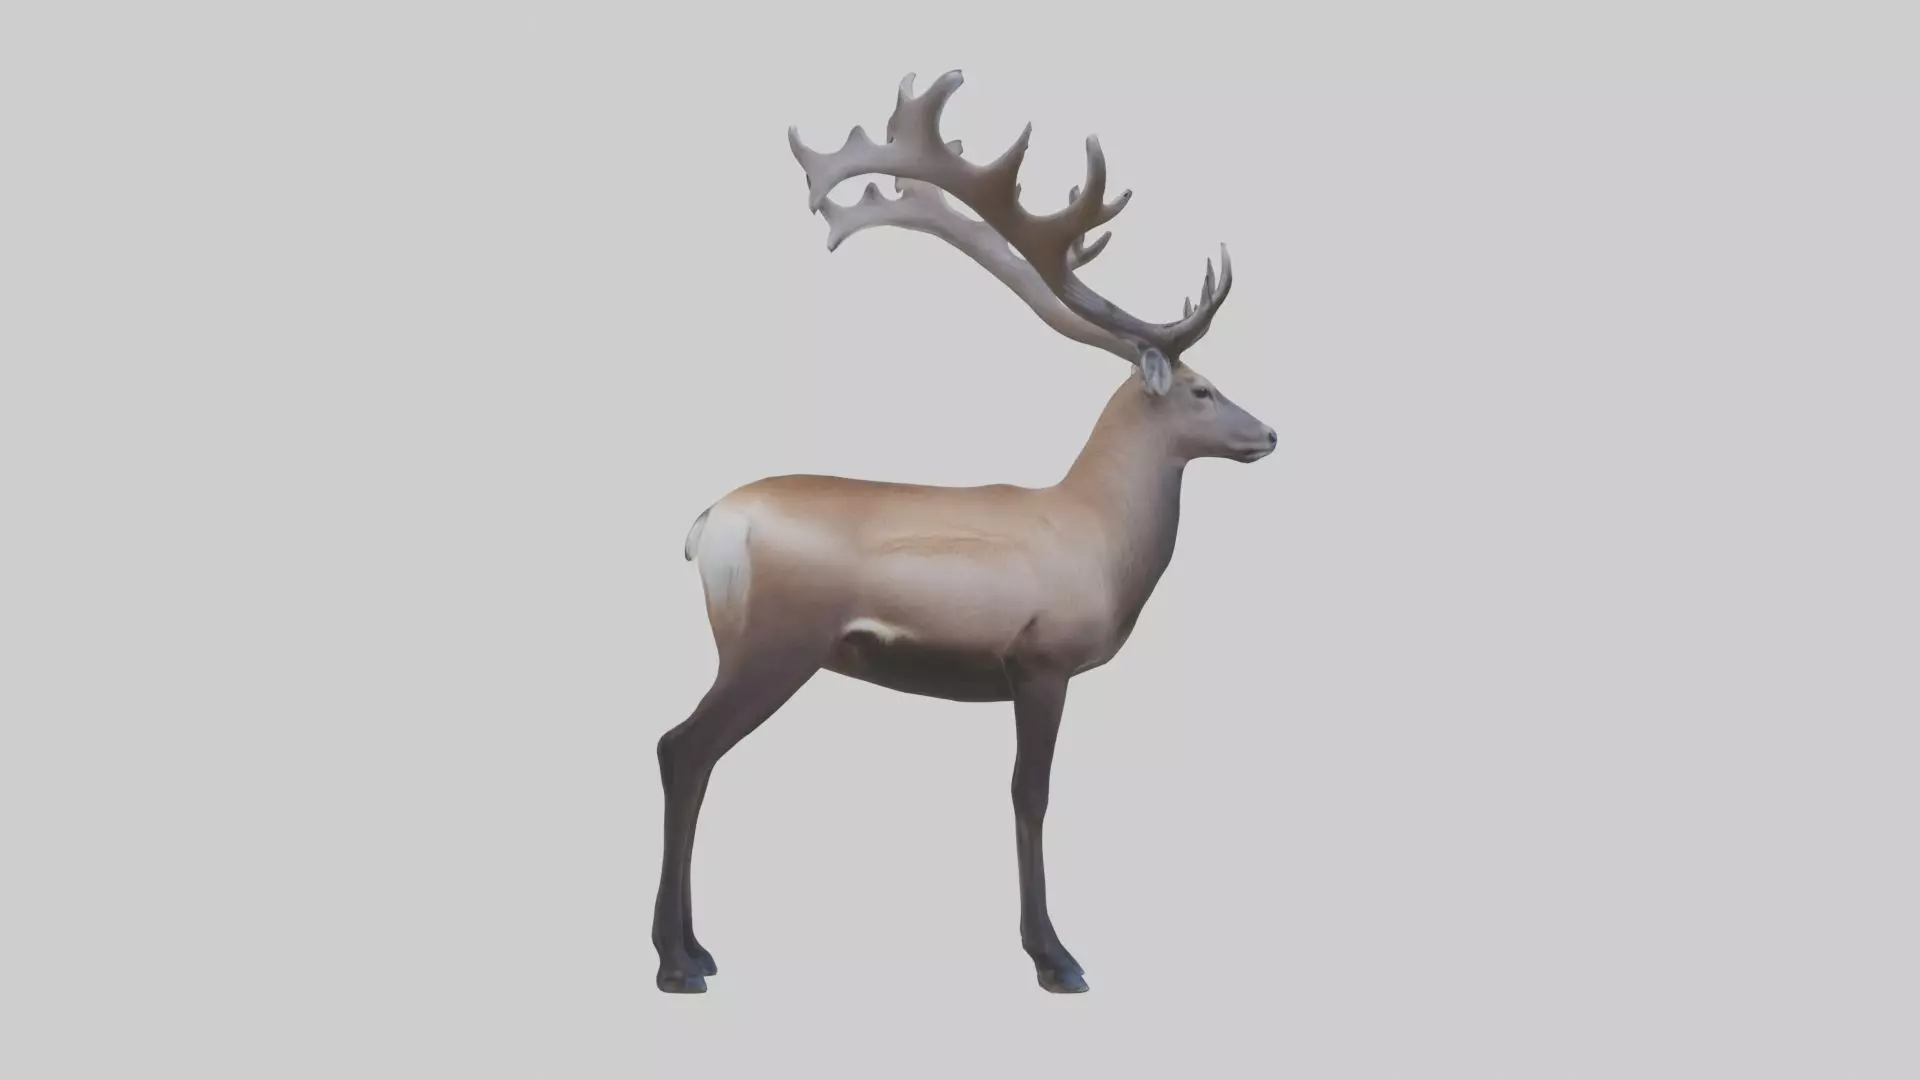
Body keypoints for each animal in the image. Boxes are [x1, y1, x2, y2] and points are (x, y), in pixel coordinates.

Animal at [651, 71, 1276, 994]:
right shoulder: (1042, 660)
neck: (1102, 537)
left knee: (692, 755)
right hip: (773, 645)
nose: (1268, 433)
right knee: (682, 748)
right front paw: (1055, 957)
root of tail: (705, 529)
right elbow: (1031, 795)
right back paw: (675, 961)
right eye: (1201, 389)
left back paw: (698, 949)